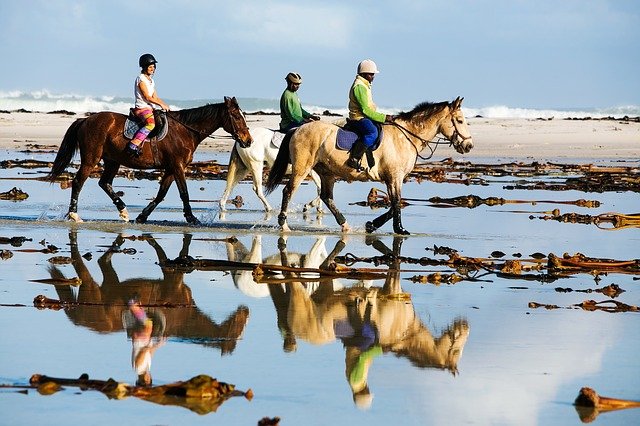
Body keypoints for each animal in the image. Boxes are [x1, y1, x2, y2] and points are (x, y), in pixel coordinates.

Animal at [47, 95, 252, 225]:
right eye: (236, 116)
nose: (248, 140)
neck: (185, 131)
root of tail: (85, 120)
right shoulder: (177, 166)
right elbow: (184, 193)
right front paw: (191, 218)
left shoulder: (171, 168)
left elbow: (161, 194)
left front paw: (142, 216)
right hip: (91, 159)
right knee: (78, 182)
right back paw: (74, 215)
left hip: (113, 161)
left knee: (104, 183)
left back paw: (123, 211)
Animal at [262, 96, 472, 235]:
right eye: (460, 120)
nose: (469, 146)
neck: (405, 136)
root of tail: (298, 129)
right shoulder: (394, 177)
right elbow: (397, 204)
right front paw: (399, 229)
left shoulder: (392, 179)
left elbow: (394, 205)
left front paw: (371, 225)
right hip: (302, 168)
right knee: (288, 191)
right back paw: (284, 225)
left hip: (326, 173)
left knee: (326, 197)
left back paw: (345, 225)